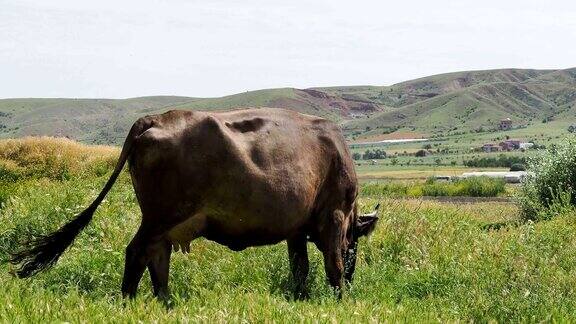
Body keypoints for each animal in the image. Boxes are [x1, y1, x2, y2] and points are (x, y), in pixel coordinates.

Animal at [10, 108, 378, 298]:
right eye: (357, 244)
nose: (354, 281)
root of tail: (155, 118)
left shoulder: (296, 229)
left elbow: (299, 266)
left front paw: (299, 297)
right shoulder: (334, 214)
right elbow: (333, 264)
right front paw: (341, 299)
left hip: (164, 222)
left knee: (157, 256)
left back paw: (165, 301)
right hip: (160, 216)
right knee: (138, 252)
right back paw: (129, 299)